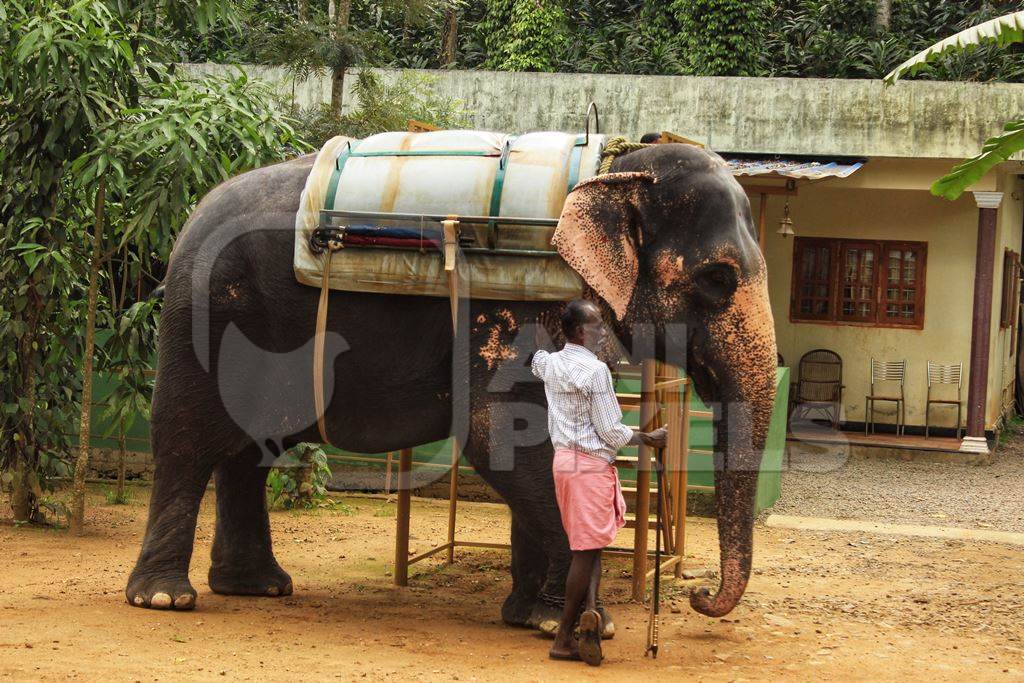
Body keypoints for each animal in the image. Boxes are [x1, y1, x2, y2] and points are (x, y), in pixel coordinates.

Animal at [121, 140, 774, 630]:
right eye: (718, 279)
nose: (701, 598)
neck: (610, 170)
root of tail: (188, 220)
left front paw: (527, 618)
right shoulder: (512, 314)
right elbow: (504, 439)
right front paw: (579, 624)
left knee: (249, 450)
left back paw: (258, 588)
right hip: (204, 315)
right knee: (186, 440)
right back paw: (165, 598)